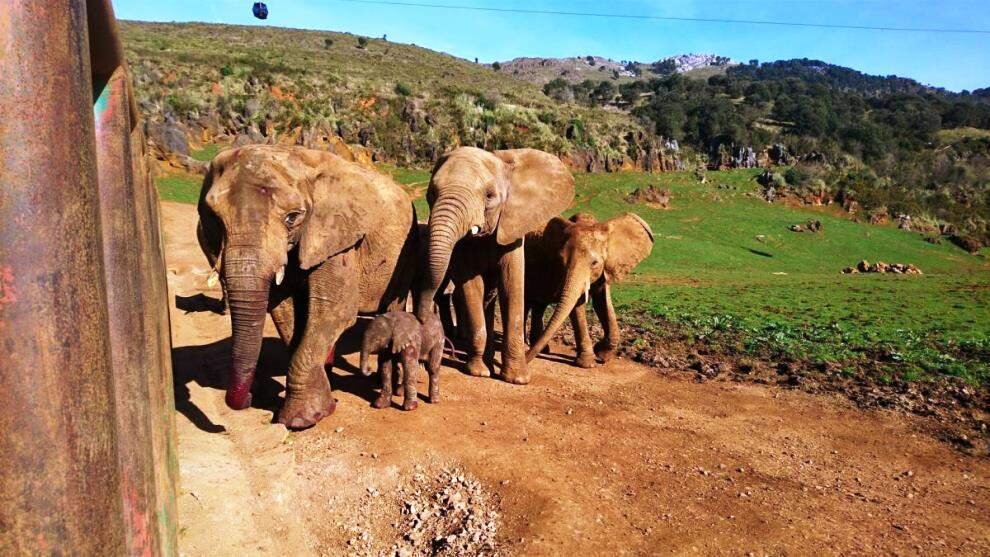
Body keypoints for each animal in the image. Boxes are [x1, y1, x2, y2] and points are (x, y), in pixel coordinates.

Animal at [198, 143, 418, 426]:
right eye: (213, 218)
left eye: (292, 218)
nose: (248, 399)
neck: (298, 159)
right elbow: (286, 311)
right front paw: (319, 402)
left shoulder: (337, 238)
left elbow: (336, 312)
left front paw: (300, 420)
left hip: (407, 251)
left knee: (392, 306)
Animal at [416, 146, 572, 384]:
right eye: (431, 193)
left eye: (489, 196)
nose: (423, 361)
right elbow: (472, 287)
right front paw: (478, 372)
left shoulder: (512, 228)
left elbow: (511, 285)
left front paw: (517, 379)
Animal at [524, 212, 656, 364]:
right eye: (561, 261)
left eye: (594, 263)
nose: (525, 361)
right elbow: (577, 305)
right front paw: (587, 362)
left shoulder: (605, 268)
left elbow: (602, 303)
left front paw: (602, 355)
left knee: (538, 305)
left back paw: (542, 349)